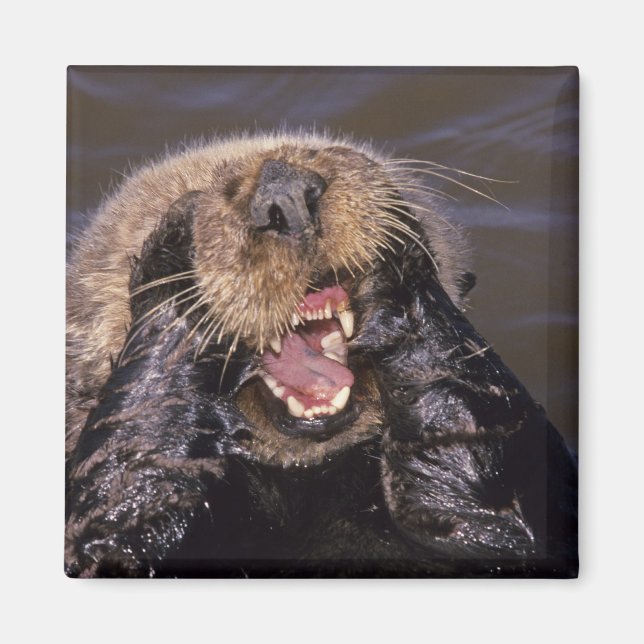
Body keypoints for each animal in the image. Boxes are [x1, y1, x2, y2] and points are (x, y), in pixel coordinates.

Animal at [65, 131, 577, 577]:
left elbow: (493, 496)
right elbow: (119, 518)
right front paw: (173, 255)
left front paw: (400, 266)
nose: (284, 191)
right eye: (215, 187)